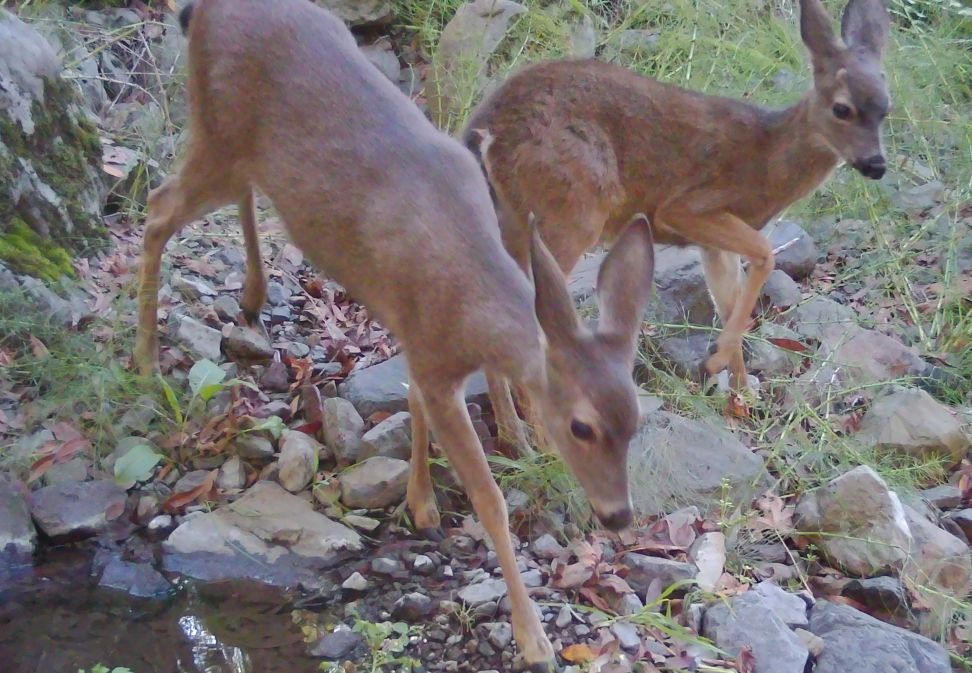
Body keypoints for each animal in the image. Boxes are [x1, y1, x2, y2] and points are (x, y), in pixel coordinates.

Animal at [132, 1, 655, 669]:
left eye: (634, 420)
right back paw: (145, 361)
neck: (467, 297)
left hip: (238, 156)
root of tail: (202, 12)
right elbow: (488, 498)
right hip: (215, 133)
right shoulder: (430, 350)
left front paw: (422, 504)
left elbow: (413, 402)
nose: (617, 515)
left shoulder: (417, 336)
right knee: (156, 207)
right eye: (580, 427)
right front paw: (533, 639)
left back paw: (250, 296)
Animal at [461, 0, 890, 446]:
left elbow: (729, 297)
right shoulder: (687, 207)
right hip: (570, 211)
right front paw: (716, 363)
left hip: (513, 220)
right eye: (842, 108)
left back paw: (515, 438)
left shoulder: (713, 244)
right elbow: (765, 255)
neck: (767, 161)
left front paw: (741, 399)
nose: (876, 164)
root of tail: (484, 131)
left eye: (885, 109)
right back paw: (540, 440)